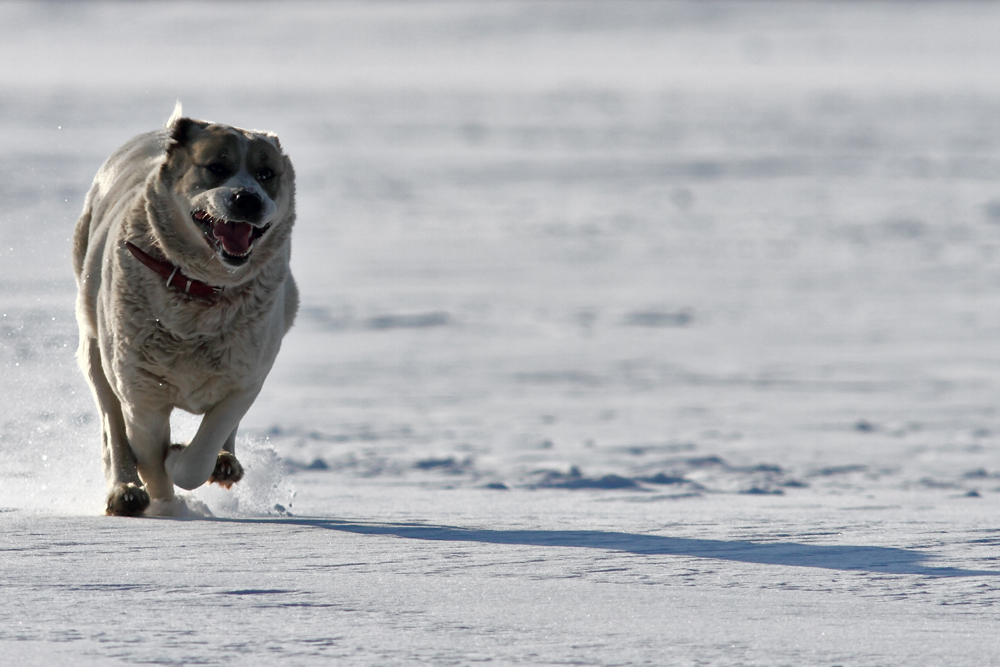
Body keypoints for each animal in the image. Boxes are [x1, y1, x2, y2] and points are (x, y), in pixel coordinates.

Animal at [74, 105, 296, 516]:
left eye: (266, 174)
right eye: (217, 167)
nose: (248, 199)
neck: (200, 287)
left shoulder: (245, 378)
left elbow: (201, 452)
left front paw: (183, 457)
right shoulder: (142, 394)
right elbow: (149, 460)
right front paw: (167, 506)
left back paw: (225, 462)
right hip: (96, 350)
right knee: (112, 427)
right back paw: (125, 491)